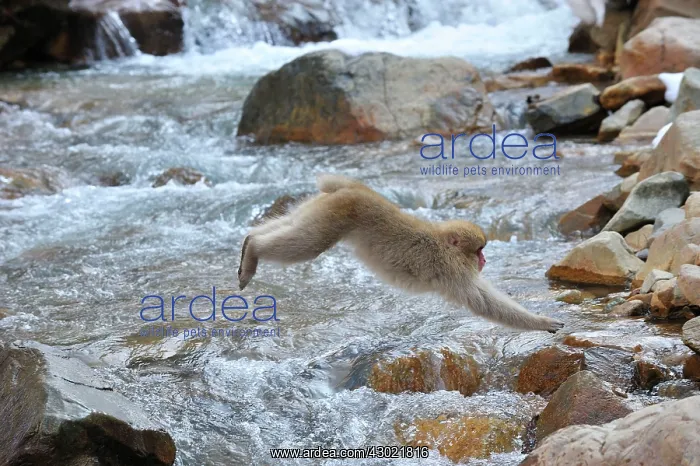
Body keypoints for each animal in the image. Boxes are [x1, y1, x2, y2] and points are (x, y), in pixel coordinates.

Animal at [238, 174, 565, 333]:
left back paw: (250, 241)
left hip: (321, 206)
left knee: (295, 227)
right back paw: (254, 251)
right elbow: (484, 302)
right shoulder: (453, 269)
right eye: (480, 250)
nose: (485, 260)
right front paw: (541, 322)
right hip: (335, 214)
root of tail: (356, 189)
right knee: (309, 242)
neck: (443, 243)